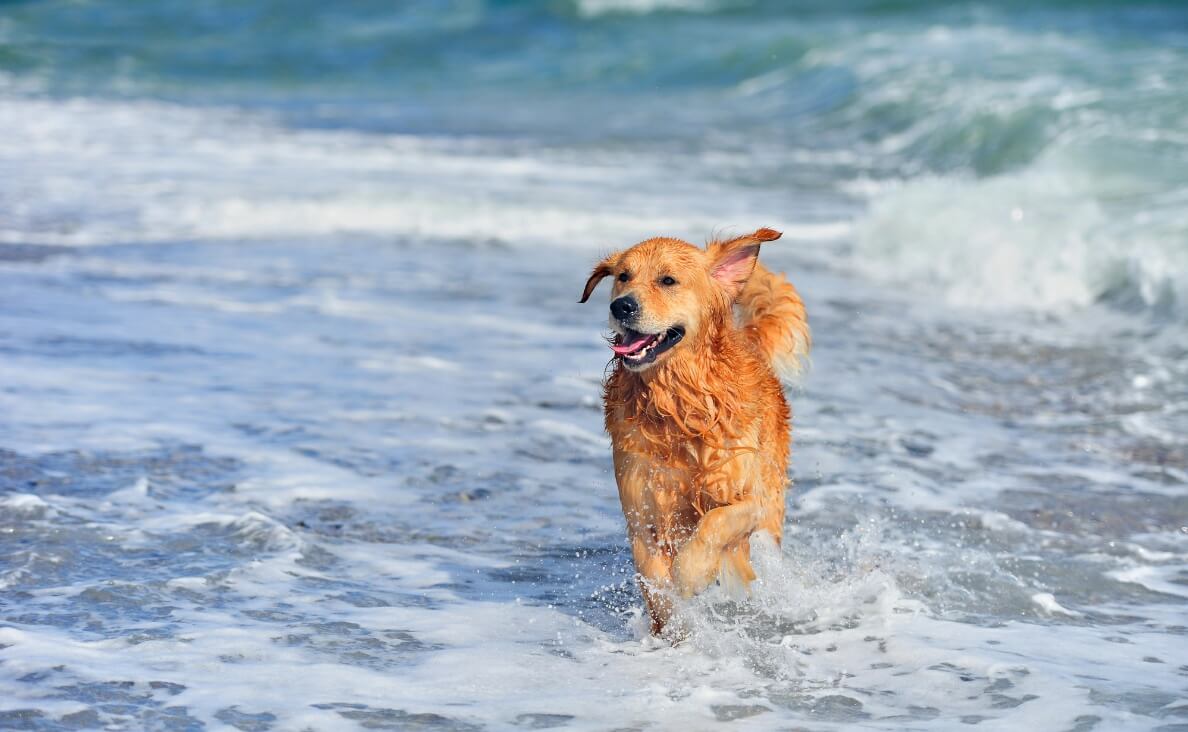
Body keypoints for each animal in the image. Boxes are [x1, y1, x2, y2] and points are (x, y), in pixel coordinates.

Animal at [582, 228, 812, 636]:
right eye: (623, 276)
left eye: (668, 280)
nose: (622, 306)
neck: (678, 404)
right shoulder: (642, 516)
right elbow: (656, 582)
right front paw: (673, 628)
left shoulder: (751, 500)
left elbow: (714, 523)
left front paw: (691, 574)